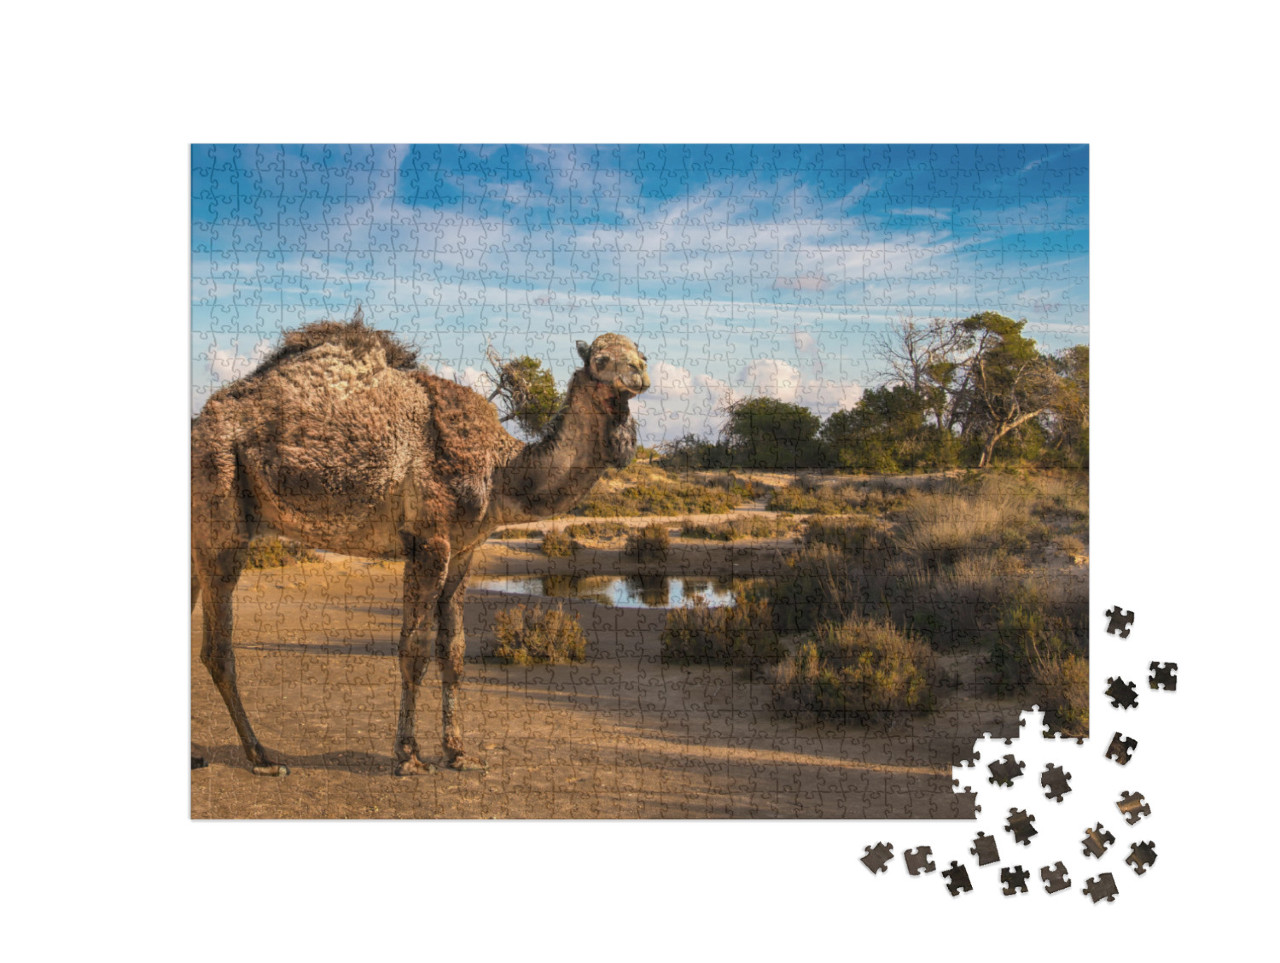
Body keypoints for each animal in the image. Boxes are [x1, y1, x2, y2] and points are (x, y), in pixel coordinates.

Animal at [192, 316, 650, 773]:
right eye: (600, 360)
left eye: (640, 354)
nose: (640, 374)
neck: (500, 471)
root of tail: (199, 423)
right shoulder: (428, 541)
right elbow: (415, 650)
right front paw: (408, 756)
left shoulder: (465, 549)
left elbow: (455, 651)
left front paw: (458, 752)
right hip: (220, 504)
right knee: (218, 647)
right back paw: (261, 757)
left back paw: (200, 756)